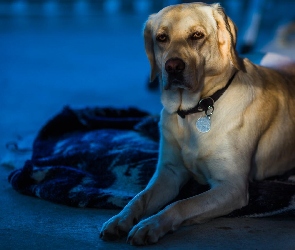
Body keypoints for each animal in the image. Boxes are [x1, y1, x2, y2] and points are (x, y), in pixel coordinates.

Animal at [100, 1, 295, 244]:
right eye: (161, 37)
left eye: (197, 35)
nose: (173, 67)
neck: (195, 110)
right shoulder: (169, 173)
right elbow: (140, 198)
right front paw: (120, 219)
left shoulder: (231, 186)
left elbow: (180, 205)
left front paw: (151, 225)